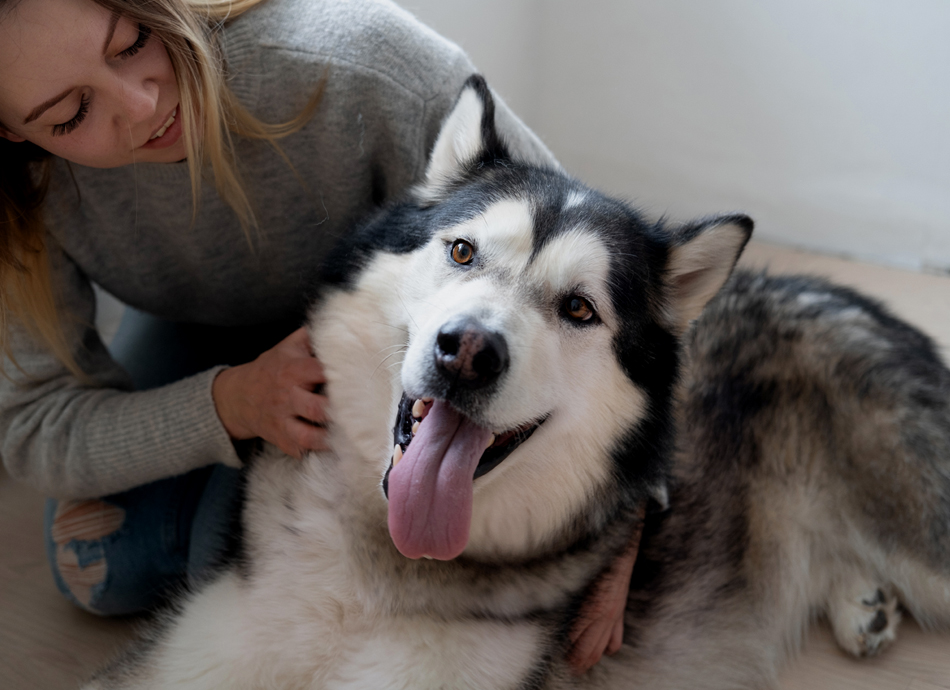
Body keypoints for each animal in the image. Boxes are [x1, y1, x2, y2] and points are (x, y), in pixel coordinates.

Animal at [85, 76, 950, 688]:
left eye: (579, 308)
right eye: (462, 251)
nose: (466, 351)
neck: (380, 570)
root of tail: (836, 292)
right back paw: (862, 602)